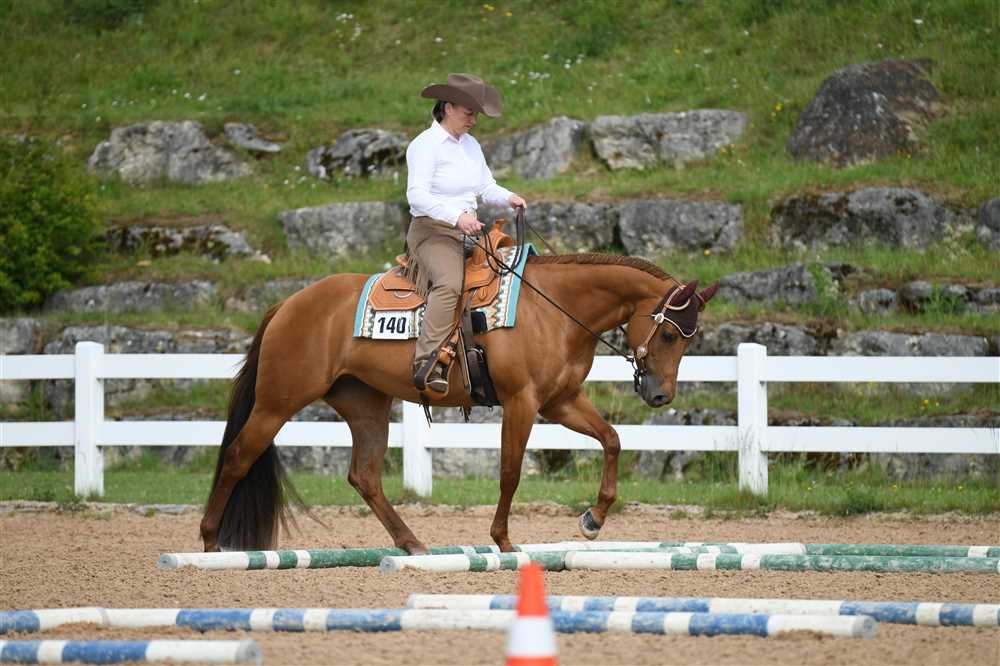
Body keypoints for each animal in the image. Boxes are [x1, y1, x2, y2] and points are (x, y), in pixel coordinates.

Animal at [200, 252, 718, 554]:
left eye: (690, 339)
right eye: (669, 334)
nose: (660, 395)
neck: (553, 308)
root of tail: (287, 304)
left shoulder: (560, 401)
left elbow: (611, 439)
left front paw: (593, 519)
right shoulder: (523, 402)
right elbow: (510, 471)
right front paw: (504, 541)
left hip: (366, 405)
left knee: (364, 476)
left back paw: (412, 544)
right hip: (277, 402)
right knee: (237, 456)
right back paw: (208, 541)